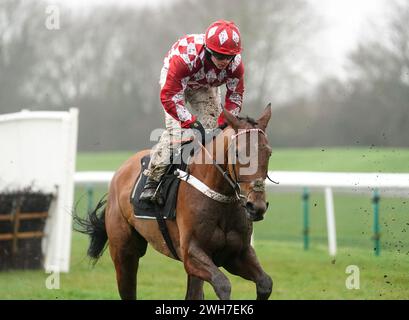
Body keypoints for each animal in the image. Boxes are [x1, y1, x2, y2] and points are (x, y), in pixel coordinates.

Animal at [75, 104, 274, 298]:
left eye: (269, 153)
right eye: (238, 153)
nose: (256, 206)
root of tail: (120, 171)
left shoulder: (237, 254)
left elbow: (265, 283)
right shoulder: (191, 254)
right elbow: (223, 285)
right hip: (124, 251)